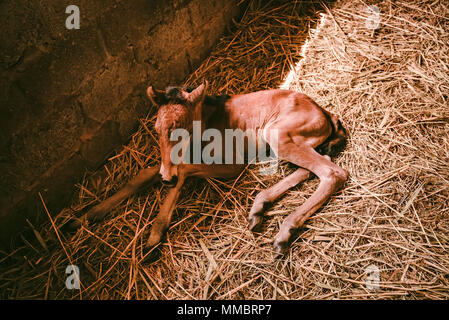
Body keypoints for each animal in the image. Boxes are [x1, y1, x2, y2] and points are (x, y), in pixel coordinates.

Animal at [72, 80, 348, 255]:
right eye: (156, 128)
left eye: (182, 128)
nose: (166, 178)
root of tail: (326, 114)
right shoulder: (166, 164)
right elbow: (145, 174)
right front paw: (87, 216)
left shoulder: (233, 164)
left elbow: (183, 170)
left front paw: (154, 235)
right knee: (310, 168)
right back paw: (259, 208)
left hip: (277, 134)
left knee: (333, 172)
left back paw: (284, 232)